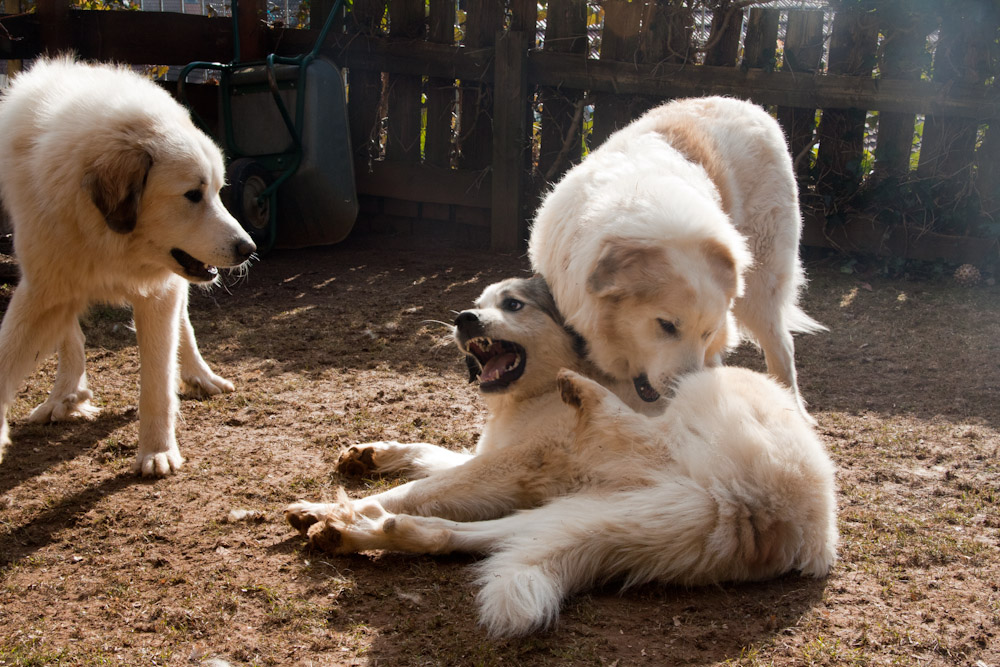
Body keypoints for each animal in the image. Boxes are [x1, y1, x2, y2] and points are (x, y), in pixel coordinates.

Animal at [0, 56, 256, 474]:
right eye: (193, 195)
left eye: (218, 192)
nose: (248, 248)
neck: (107, 238)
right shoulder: (43, 289)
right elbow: (11, 357)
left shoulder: (159, 293)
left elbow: (157, 382)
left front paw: (157, 451)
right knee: (71, 339)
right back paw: (65, 395)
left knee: (183, 327)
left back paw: (201, 377)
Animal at [286, 276, 840, 636]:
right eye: (478, 303)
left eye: (513, 305)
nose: (464, 319)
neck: (529, 398)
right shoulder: (493, 461)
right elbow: (428, 455)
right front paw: (368, 456)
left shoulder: (501, 467)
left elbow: (416, 487)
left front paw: (326, 504)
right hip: (590, 514)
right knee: (469, 537)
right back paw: (369, 534)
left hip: (698, 406)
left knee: (638, 430)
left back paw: (587, 394)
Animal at [528, 96, 824, 414]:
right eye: (666, 326)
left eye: (707, 333)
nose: (688, 390)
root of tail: (753, 107)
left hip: (761, 289)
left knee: (782, 346)